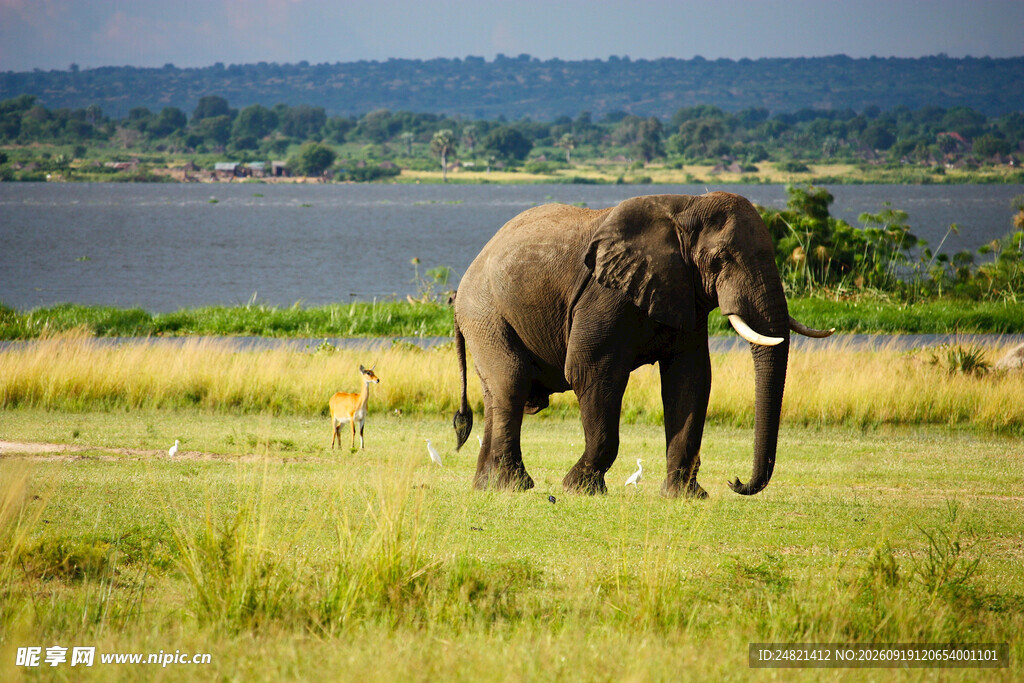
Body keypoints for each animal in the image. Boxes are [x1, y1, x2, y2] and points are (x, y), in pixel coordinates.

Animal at [450, 192, 833, 497]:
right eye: (719, 260)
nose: (736, 482)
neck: (686, 207)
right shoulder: (604, 294)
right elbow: (591, 372)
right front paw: (579, 488)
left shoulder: (683, 292)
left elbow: (690, 379)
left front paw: (685, 496)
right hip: (484, 312)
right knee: (511, 383)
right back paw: (513, 486)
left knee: (496, 393)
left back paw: (487, 485)